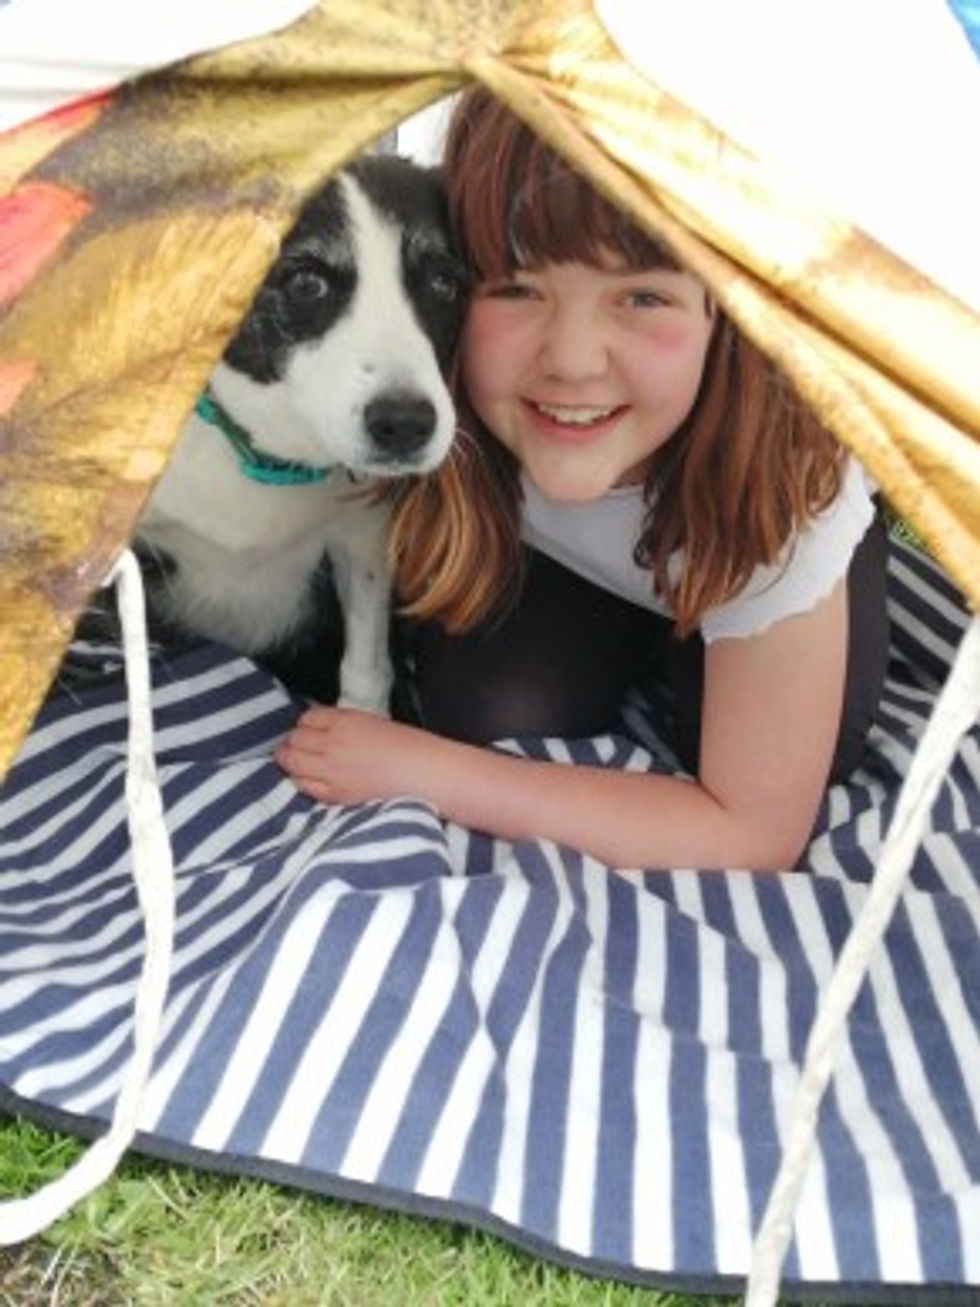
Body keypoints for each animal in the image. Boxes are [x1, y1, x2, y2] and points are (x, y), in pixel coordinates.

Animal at [134, 154, 467, 712]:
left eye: (444, 283)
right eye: (307, 283)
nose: (405, 426)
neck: (266, 458)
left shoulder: (363, 540)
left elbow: (365, 664)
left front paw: (363, 718)